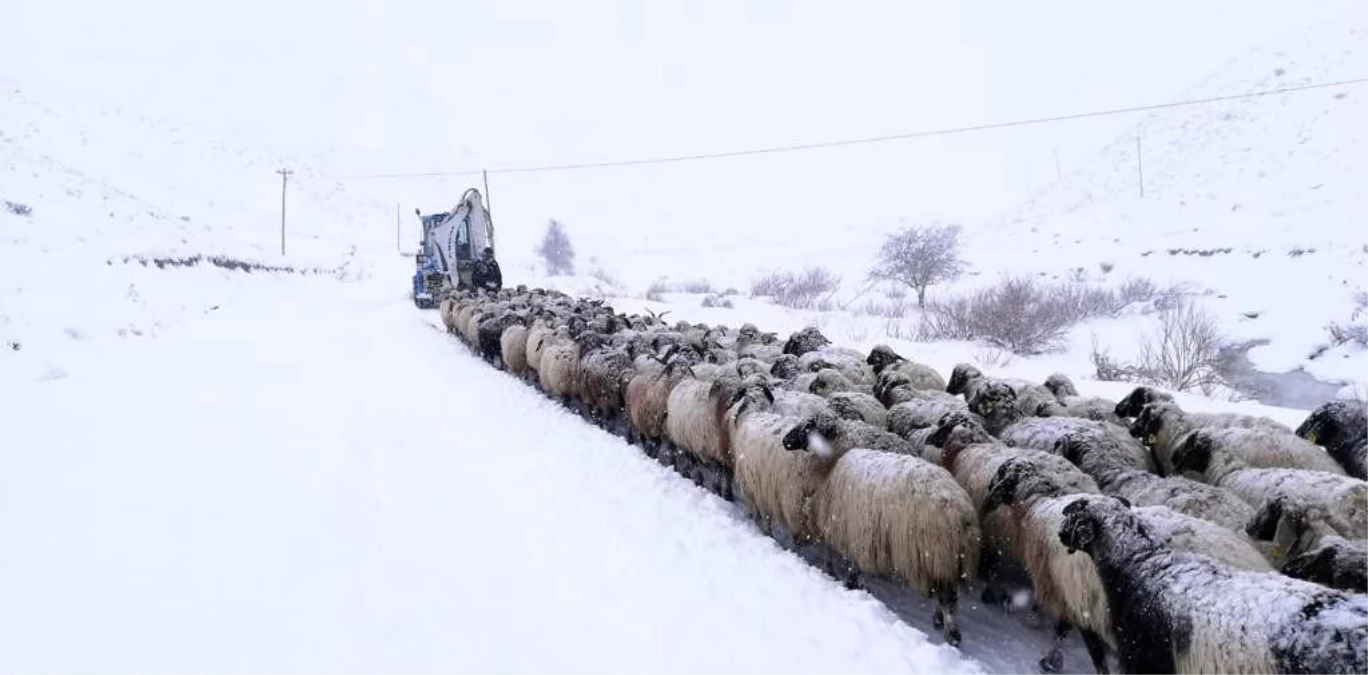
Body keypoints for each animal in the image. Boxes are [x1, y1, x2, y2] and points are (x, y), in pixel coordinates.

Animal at [809, 443, 984, 643]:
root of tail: (962, 513)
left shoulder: (855, 534)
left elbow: (854, 566)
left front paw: (852, 583)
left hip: (939, 555)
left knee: (947, 598)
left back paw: (951, 632)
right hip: (950, 561)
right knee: (950, 595)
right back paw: (940, 620)